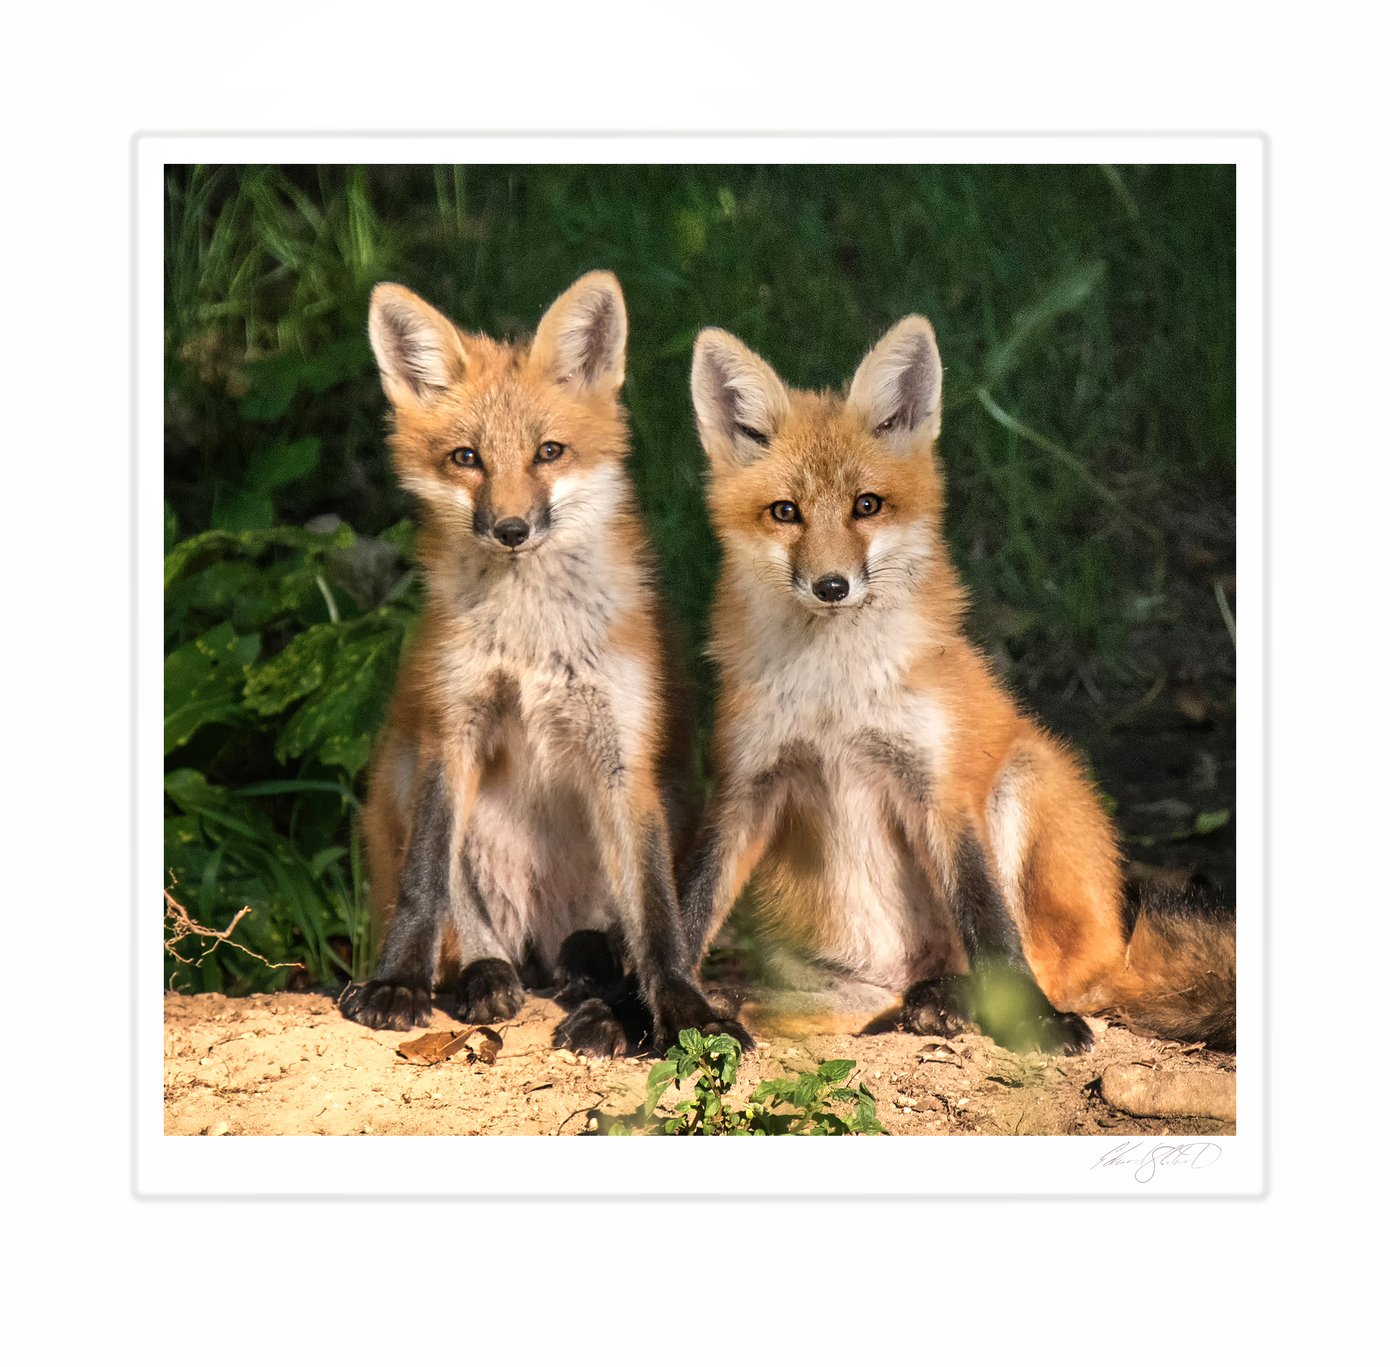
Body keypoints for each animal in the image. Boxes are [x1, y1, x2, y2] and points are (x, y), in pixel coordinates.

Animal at [340, 271, 747, 1057]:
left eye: (550, 451)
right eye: (466, 458)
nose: (511, 529)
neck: (529, 638)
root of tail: (538, 938)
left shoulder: (622, 755)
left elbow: (659, 916)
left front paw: (683, 1011)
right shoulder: (452, 728)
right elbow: (425, 879)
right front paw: (397, 983)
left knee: (595, 945)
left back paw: (592, 984)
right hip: (402, 765)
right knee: (470, 928)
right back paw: (486, 975)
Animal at [681, 316, 1235, 1055]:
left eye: (866, 506)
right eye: (784, 512)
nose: (832, 586)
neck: (835, 695)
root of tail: (1119, 953)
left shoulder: (940, 785)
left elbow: (988, 920)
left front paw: (1038, 1022)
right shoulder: (746, 784)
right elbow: (691, 904)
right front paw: (651, 1002)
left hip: (1027, 776)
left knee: (1044, 968)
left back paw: (964, 1004)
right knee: (853, 1005)